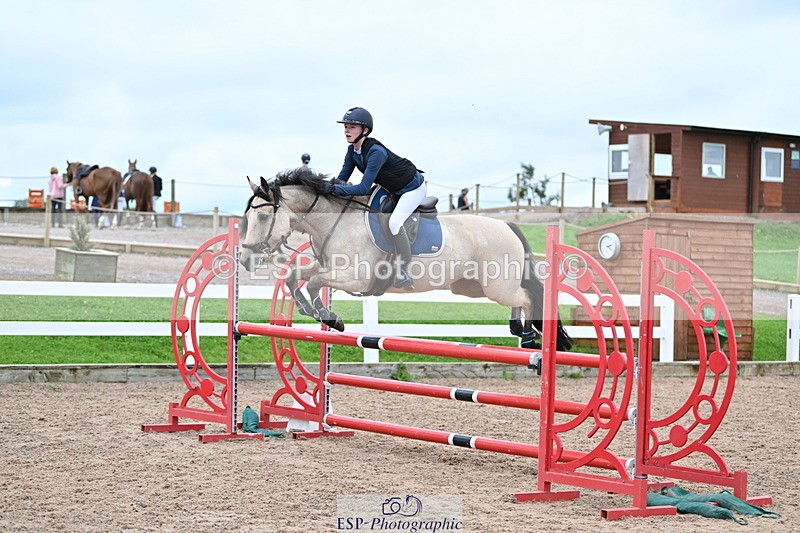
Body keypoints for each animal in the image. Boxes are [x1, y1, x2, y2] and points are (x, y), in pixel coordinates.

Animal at [238, 168, 573, 352]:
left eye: (264, 216)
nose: (245, 260)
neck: (336, 220)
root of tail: (506, 224)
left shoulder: (356, 277)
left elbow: (315, 282)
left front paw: (329, 317)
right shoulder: (330, 266)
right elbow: (296, 276)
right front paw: (310, 310)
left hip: (496, 286)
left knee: (527, 296)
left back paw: (528, 337)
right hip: (471, 287)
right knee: (522, 296)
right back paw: (518, 328)